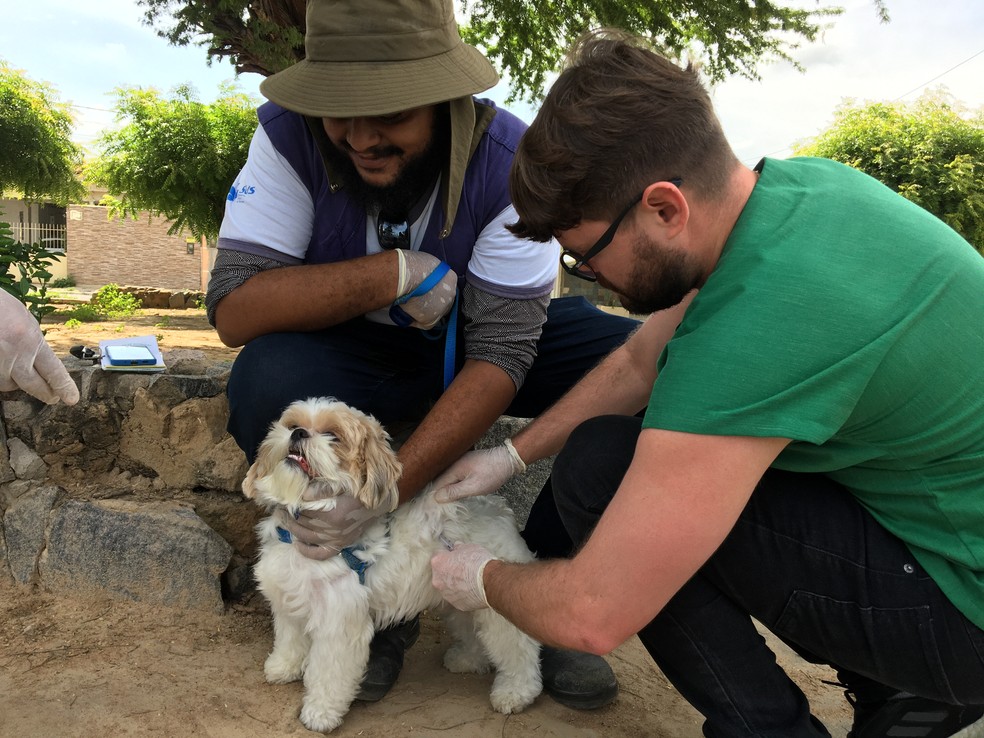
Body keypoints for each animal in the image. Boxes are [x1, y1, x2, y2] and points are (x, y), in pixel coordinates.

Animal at [242, 400, 540, 732]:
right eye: (292, 424)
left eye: (333, 436)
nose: (298, 433)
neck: (296, 539)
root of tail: (498, 509)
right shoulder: (289, 601)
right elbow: (289, 640)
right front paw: (283, 666)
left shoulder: (339, 625)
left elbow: (328, 674)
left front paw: (320, 713)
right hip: (458, 598)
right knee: (474, 633)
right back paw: (467, 660)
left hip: (494, 610)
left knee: (519, 648)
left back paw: (516, 691)